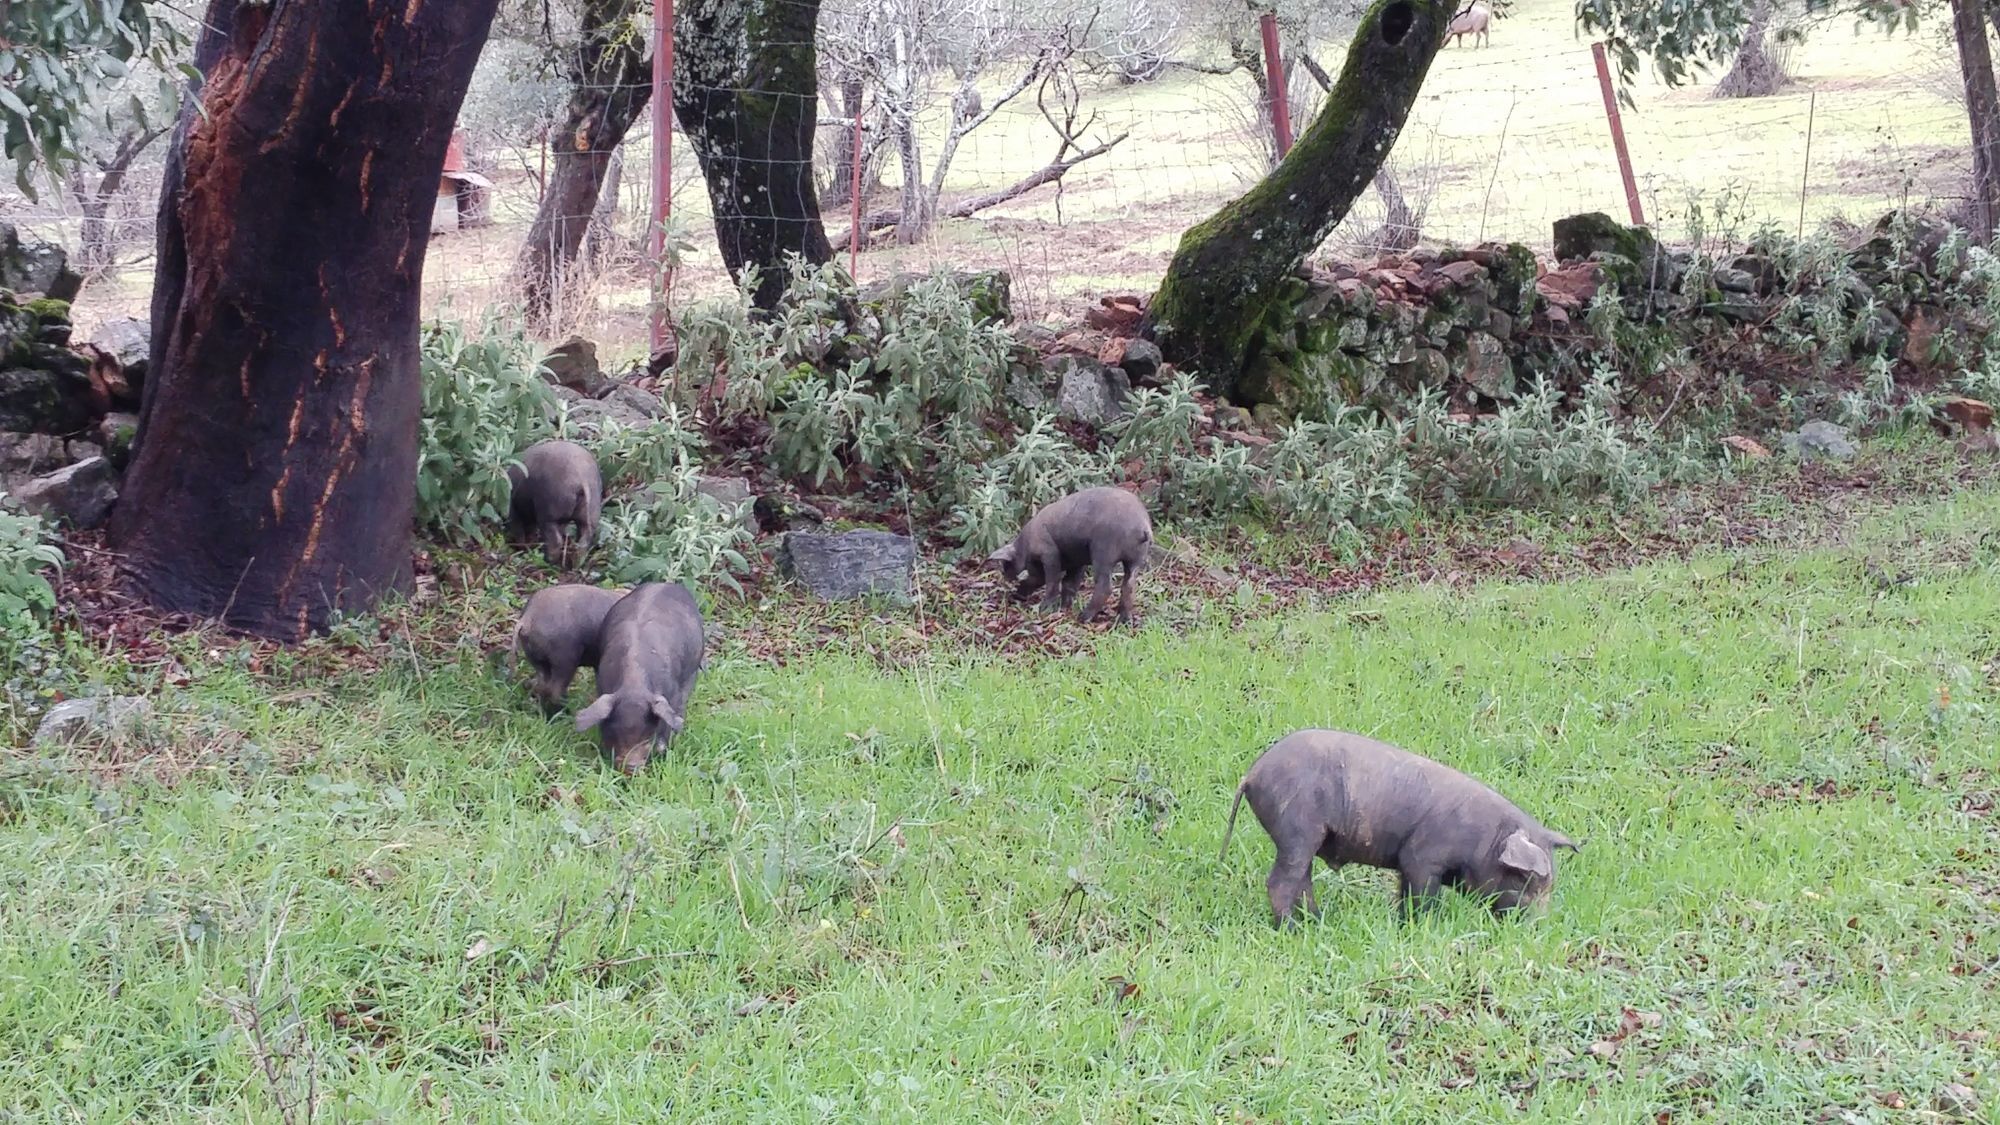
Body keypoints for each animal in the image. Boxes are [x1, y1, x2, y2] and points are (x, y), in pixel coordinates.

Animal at [508, 436, 600, 564]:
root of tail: (582, 481)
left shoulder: (514, 511)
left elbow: (519, 530)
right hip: (589, 517)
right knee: (582, 543)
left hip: (549, 516)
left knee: (556, 541)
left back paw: (548, 560)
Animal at [576, 576, 708, 768]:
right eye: (614, 732)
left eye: (648, 734)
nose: (631, 767)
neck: (634, 684)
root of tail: (665, 584)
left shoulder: (672, 695)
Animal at [988, 482, 1160, 620]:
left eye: (1006, 565)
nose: (1005, 578)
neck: (1025, 546)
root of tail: (1143, 527)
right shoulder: (1076, 562)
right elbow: (1068, 583)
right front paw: (1064, 607)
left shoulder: (1049, 554)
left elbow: (1050, 580)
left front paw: (1046, 608)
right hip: (1135, 561)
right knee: (1129, 586)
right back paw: (1124, 620)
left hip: (1103, 554)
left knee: (1105, 587)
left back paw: (1083, 617)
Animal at [1216, 728, 1576, 920]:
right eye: (1527, 880)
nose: (1538, 926)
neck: (1485, 840)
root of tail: (1252, 774)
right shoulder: (1421, 856)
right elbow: (1423, 895)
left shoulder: (1409, 863)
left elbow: (1405, 892)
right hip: (1297, 830)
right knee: (1281, 881)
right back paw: (1292, 929)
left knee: (1300, 880)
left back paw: (1316, 921)